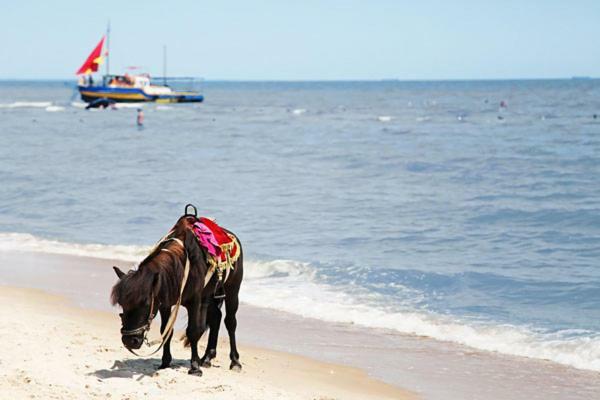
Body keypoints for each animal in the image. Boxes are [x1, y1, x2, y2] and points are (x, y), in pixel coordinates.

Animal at [111, 216, 243, 376]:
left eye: (146, 303)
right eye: (122, 304)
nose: (130, 341)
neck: (179, 268)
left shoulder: (194, 301)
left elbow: (193, 330)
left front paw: (194, 367)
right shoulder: (165, 304)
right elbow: (166, 331)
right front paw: (165, 362)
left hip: (232, 289)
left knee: (230, 322)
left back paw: (234, 362)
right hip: (209, 296)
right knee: (216, 318)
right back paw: (207, 358)